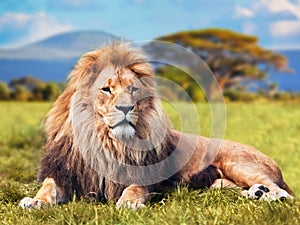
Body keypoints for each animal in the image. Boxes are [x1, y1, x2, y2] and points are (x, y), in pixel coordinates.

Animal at [19, 41, 294, 208]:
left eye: (134, 89)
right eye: (106, 89)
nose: (126, 107)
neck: (106, 141)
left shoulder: (144, 175)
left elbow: (134, 189)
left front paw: (128, 203)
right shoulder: (66, 172)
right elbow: (48, 186)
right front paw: (34, 201)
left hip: (238, 162)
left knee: (283, 192)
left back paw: (269, 195)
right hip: (218, 184)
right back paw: (256, 193)